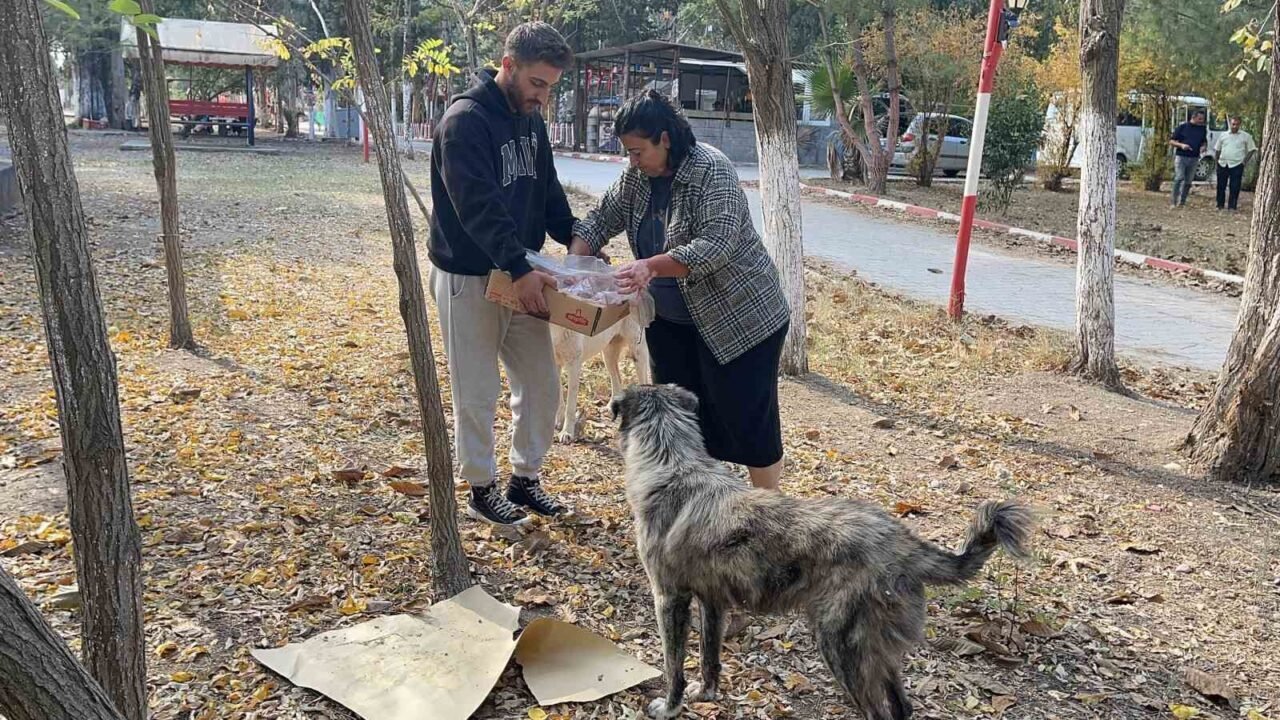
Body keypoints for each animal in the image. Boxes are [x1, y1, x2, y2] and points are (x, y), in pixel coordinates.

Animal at [610, 384, 1033, 720]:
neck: (674, 466)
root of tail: (903, 544)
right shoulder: (712, 602)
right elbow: (710, 658)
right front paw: (706, 694)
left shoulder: (670, 600)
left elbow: (673, 667)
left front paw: (670, 706)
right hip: (874, 654)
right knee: (902, 708)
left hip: (841, 648)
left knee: (878, 712)